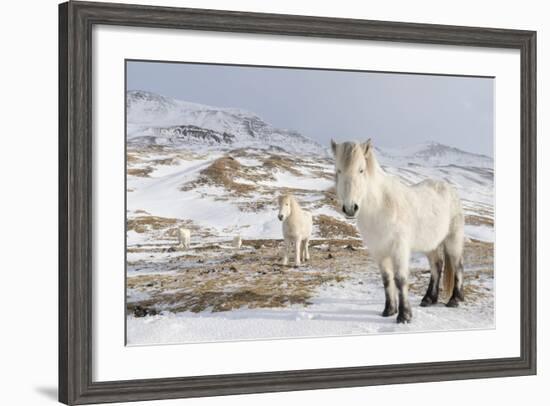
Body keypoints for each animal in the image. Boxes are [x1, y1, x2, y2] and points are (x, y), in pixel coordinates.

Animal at [332, 140, 466, 324]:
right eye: (338, 170)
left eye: (361, 170)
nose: (350, 208)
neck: (381, 206)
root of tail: (449, 188)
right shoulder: (379, 252)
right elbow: (387, 279)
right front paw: (389, 310)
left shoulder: (399, 249)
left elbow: (400, 279)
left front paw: (404, 316)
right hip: (430, 244)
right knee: (437, 266)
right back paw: (429, 299)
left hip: (453, 239)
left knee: (457, 265)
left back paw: (454, 300)